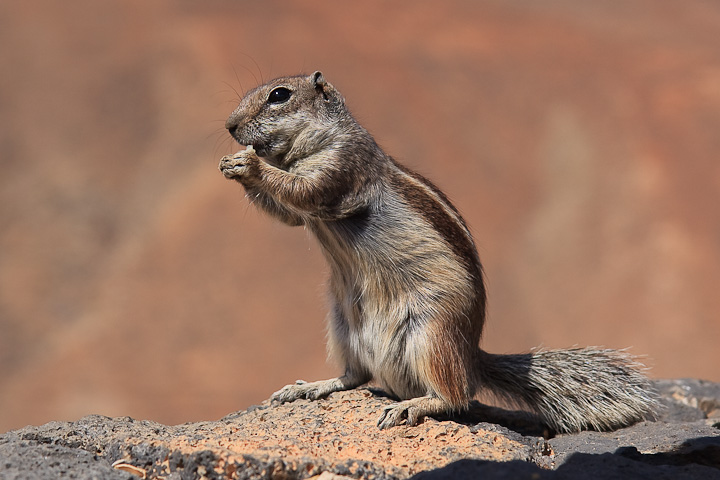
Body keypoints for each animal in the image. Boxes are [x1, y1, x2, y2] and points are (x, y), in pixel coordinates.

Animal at [218, 72, 660, 436]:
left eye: (279, 95)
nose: (230, 126)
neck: (305, 150)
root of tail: (471, 355)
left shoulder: (342, 168)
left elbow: (302, 191)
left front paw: (252, 166)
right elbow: (290, 216)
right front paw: (233, 165)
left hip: (432, 334)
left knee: (455, 398)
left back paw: (413, 406)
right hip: (343, 326)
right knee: (356, 377)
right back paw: (311, 387)